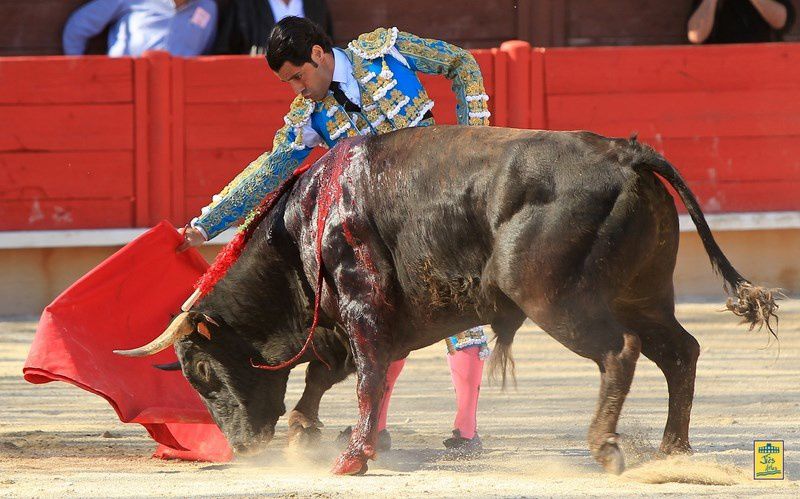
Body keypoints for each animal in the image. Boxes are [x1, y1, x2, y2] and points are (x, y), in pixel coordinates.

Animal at [112, 126, 776, 476]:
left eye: (202, 371)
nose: (243, 449)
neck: (304, 226)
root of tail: (626, 152)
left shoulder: (361, 307)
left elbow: (366, 376)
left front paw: (352, 456)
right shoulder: (350, 323)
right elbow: (334, 374)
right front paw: (311, 430)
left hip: (558, 301)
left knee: (622, 351)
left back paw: (605, 446)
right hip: (645, 293)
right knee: (680, 351)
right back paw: (673, 450)